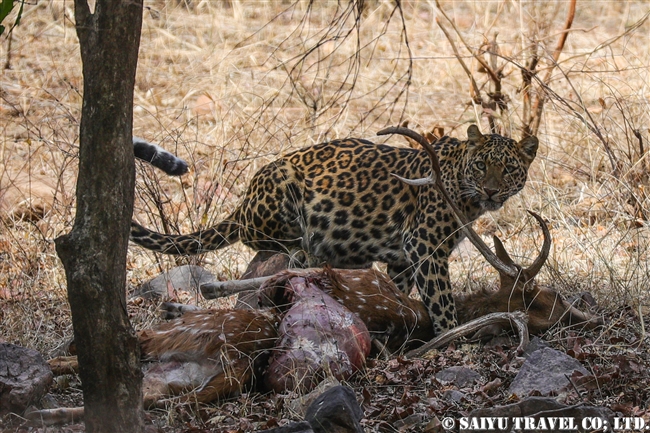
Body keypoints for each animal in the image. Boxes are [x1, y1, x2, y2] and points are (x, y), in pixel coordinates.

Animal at [129, 123, 536, 332]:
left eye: (507, 169)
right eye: (481, 166)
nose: (491, 190)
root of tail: (243, 203)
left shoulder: (403, 259)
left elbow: (396, 293)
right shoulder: (425, 247)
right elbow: (441, 301)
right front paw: (453, 336)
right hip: (283, 189)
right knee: (273, 247)